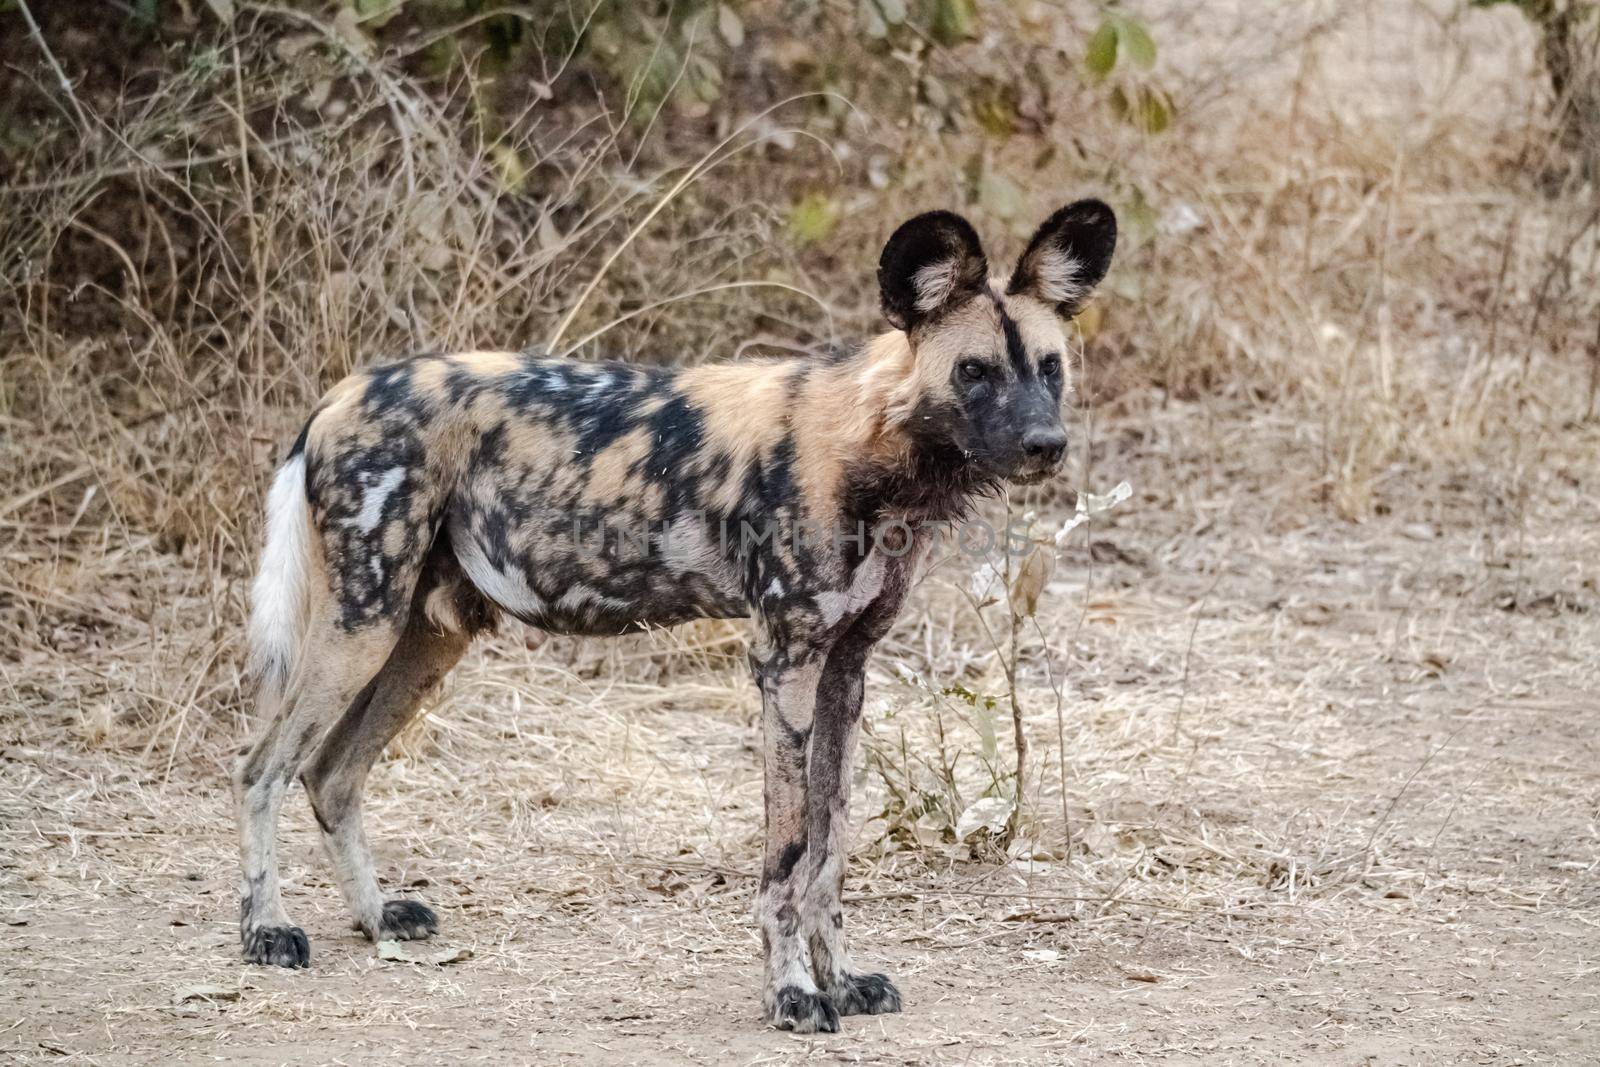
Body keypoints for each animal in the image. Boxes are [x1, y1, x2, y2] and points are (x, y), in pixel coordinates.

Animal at [236, 199, 1113, 1036]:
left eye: (1049, 367)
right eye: (974, 371)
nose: (1046, 442)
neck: (873, 450)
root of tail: (340, 394)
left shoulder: (846, 670)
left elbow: (831, 848)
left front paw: (841, 979)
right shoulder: (785, 665)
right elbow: (789, 854)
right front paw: (792, 995)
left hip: (425, 637)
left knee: (330, 772)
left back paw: (375, 916)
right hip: (362, 624)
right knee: (261, 766)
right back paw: (266, 928)